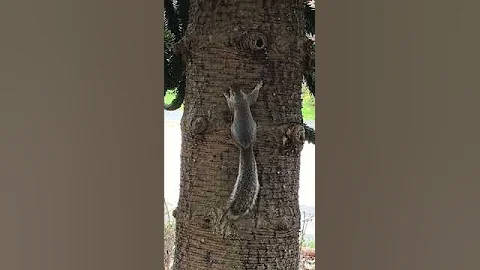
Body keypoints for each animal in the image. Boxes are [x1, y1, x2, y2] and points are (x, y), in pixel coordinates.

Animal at [221, 81, 262, 220]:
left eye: (231, 90)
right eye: (236, 85)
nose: (229, 86)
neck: (239, 96)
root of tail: (246, 146)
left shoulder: (236, 103)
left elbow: (230, 105)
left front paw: (225, 95)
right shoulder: (247, 98)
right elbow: (253, 98)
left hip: (232, 129)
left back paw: (229, 140)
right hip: (255, 128)